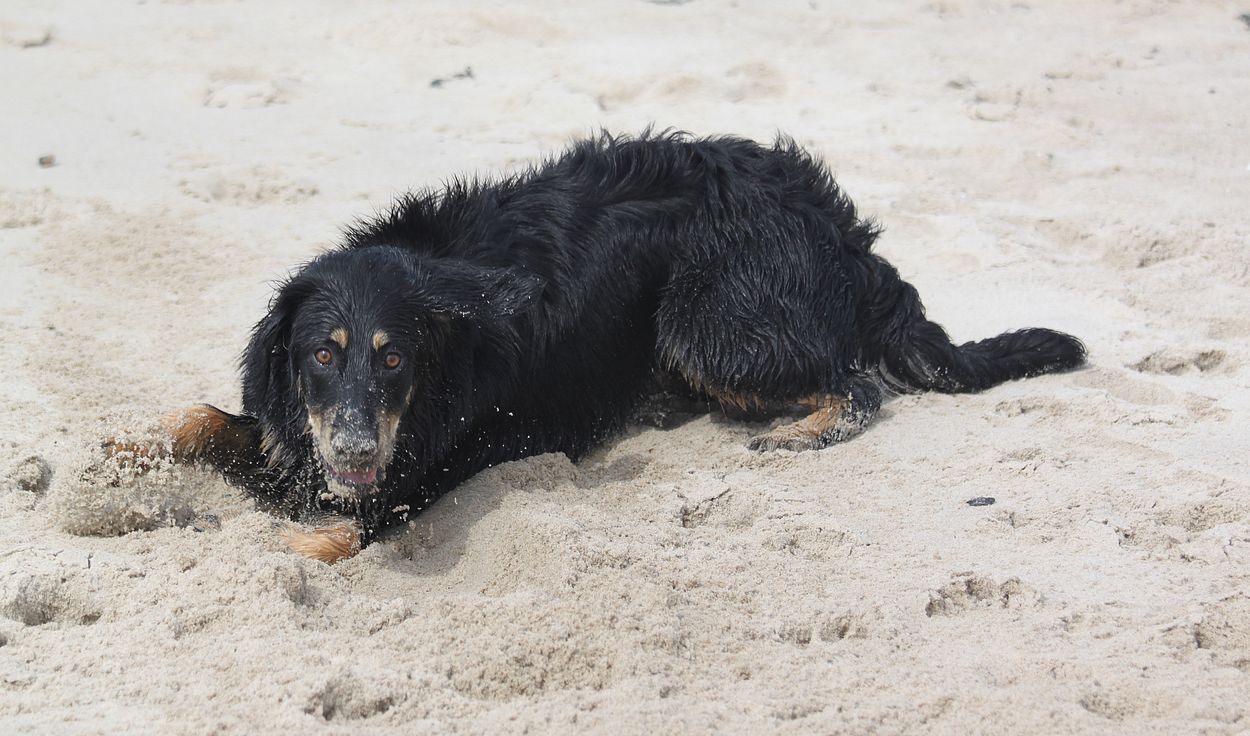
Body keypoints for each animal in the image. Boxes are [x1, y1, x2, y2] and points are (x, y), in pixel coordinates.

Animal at [124, 131, 1085, 562]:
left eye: (396, 358)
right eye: (321, 354)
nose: (359, 450)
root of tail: (837, 223)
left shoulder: (408, 480)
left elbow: (300, 542)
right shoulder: (301, 432)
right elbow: (195, 416)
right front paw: (120, 459)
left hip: (709, 326)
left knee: (857, 385)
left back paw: (801, 432)